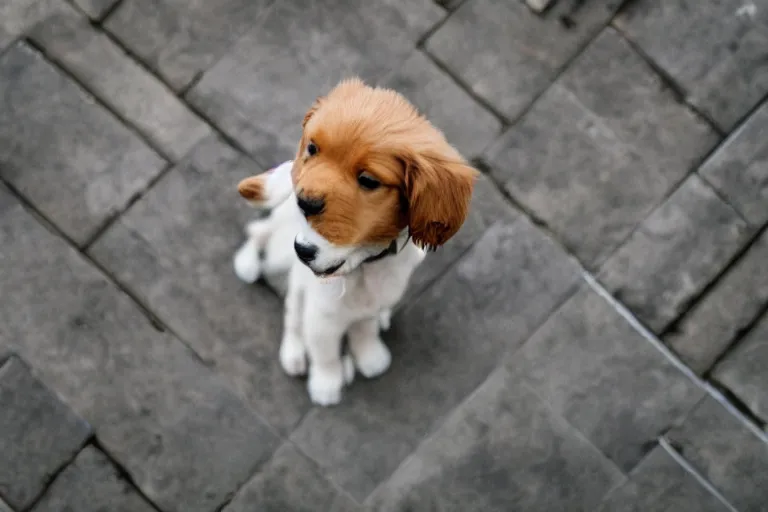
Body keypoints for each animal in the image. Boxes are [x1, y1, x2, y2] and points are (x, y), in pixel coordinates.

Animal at [234, 79, 476, 408]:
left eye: (368, 180)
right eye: (312, 148)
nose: (303, 250)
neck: (364, 268)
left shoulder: (368, 307)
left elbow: (365, 331)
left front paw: (370, 357)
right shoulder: (321, 318)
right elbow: (325, 353)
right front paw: (326, 384)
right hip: (281, 260)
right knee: (270, 260)